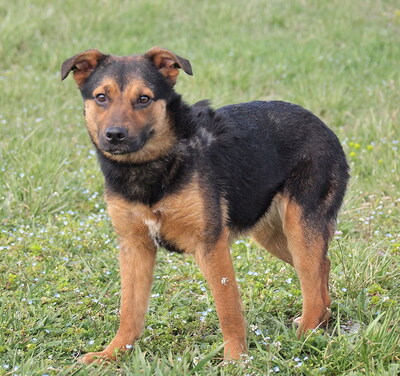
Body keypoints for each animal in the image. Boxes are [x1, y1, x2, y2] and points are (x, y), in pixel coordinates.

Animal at [61, 45, 348, 362]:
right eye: (102, 97)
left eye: (144, 99)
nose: (114, 135)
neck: (150, 169)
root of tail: (323, 126)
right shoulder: (134, 247)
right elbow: (129, 311)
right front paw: (112, 353)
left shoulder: (211, 245)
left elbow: (228, 310)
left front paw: (235, 359)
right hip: (272, 234)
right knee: (323, 265)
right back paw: (320, 324)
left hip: (299, 227)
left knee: (312, 280)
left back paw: (305, 339)